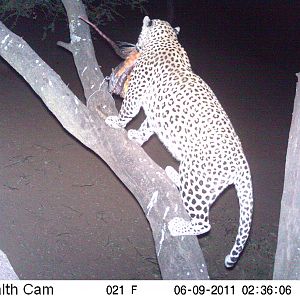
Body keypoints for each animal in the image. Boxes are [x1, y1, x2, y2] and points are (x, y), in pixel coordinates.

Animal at [105, 15, 253, 268]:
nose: (133, 47)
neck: (167, 41)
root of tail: (241, 164)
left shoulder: (137, 92)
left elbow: (129, 111)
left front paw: (116, 122)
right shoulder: (155, 111)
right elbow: (148, 126)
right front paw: (136, 137)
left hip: (198, 179)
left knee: (204, 223)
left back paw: (178, 225)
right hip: (202, 182)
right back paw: (172, 174)